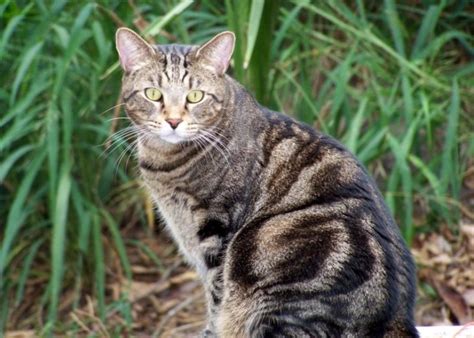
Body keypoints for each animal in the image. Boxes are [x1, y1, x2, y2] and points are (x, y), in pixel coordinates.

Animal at [115, 27, 418, 336]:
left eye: (196, 96)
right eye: (153, 94)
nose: (174, 121)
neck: (165, 161)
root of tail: (397, 317)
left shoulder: (217, 236)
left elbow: (215, 301)